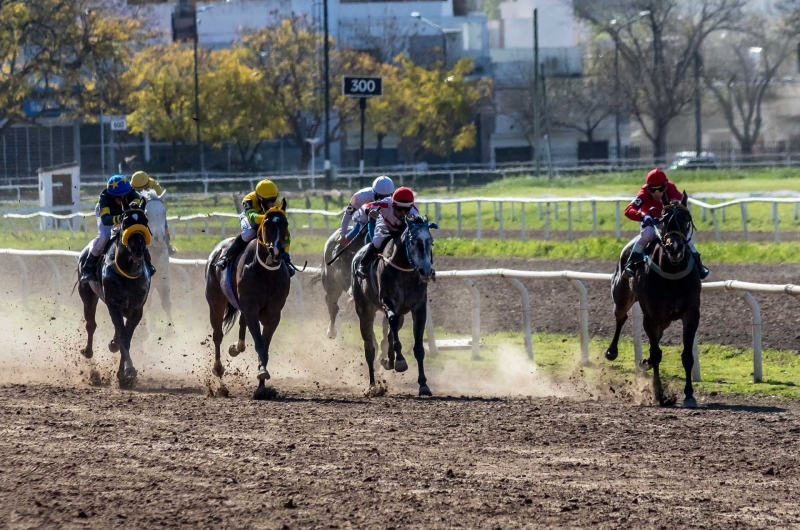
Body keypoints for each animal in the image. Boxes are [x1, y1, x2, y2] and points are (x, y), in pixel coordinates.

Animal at [77, 207, 154, 388]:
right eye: (125, 221)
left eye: (145, 220)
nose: (138, 248)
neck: (128, 271)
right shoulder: (114, 305)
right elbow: (124, 337)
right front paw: (128, 371)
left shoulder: (137, 310)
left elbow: (126, 336)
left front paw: (123, 374)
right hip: (87, 294)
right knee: (91, 324)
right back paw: (88, 351)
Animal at [205, 198, 292, 396]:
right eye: (266, 224)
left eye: (285, 224)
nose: (276, 252)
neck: (266, 273)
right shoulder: (251, 307)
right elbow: (259, 342)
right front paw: (262, 373)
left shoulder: (273, 313)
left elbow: (265, 346)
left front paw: (262, 387)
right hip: (215, 302)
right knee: (217, 335)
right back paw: (219, 375)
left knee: (241, 325)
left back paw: (236, 348)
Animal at [350, 216, 438, 396]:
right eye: (413, 241)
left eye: (430, 241)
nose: (426, 271)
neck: (404, 271)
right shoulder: (389, 303)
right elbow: (393, 332)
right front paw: (400, 362)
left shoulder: (418, 309)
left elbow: (418, 348)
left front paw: (423, 384)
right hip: (364, 311)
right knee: (369, 348)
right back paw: (373, 385)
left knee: (390, 333)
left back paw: (388, 361)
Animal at [608, 192, 700, 406]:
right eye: (664, 219)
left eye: (686, 218)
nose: (675, 248)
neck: (672, 273)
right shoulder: (650, 315)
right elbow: (656, 353)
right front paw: (659, 393)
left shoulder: (691, 313)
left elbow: (687, 356)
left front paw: (689, 394)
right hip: (622, 296)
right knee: (621, 317)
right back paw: (612, 352)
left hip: (665, 319)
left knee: (656, 337)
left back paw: (644, 363)